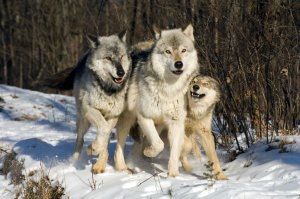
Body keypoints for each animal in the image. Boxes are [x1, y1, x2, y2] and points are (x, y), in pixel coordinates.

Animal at [113, 24, 199, 176]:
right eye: (168, 51)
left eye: (183, 50)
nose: (178, 64)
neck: (169, 90)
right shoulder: (144, 116)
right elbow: (159, 144)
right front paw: (149, 153)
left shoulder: (176, 122)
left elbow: (175, 152)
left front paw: (173, 175)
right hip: (127, 120)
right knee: (119, 148)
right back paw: (123, 168)